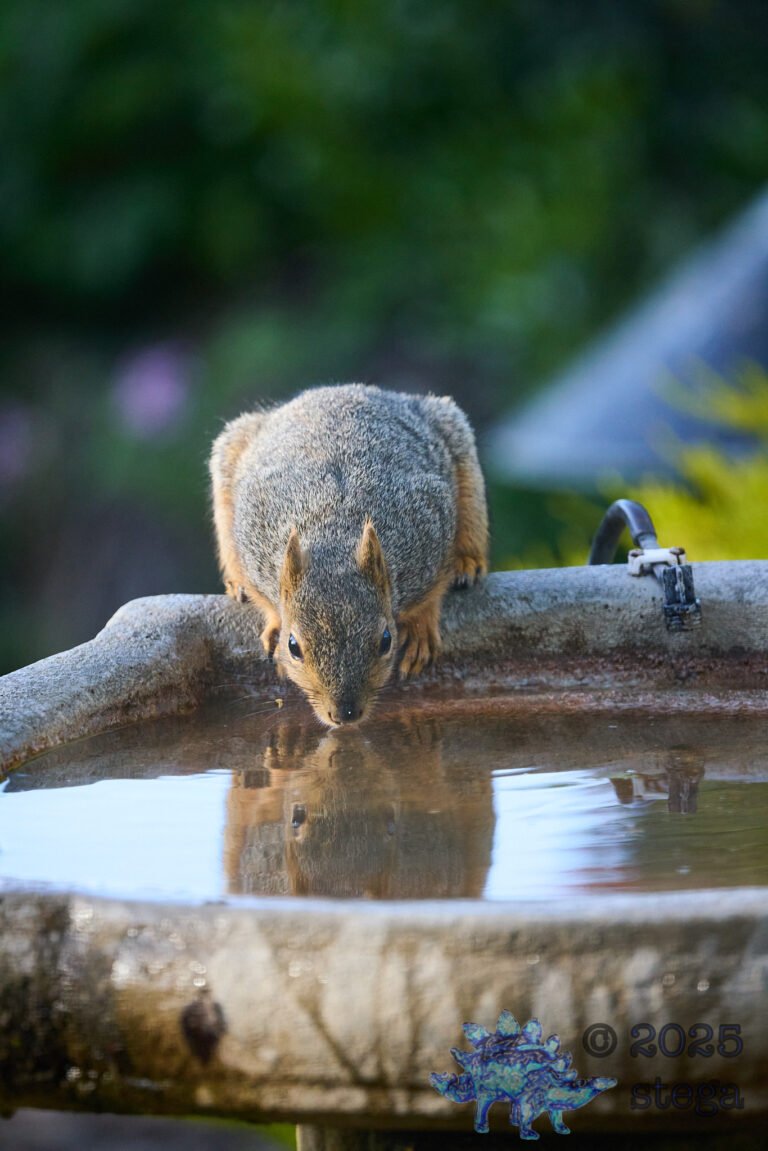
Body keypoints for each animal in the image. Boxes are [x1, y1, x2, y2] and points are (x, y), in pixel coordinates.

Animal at [209, 383, 489, 727]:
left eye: (386, 640)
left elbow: (433, 591)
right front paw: (274, 627)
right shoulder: (255, 541)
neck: (335, 535)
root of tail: (339, 388)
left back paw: (468, 563)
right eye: (293, 647)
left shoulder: (430, 532)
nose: (345, 713)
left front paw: (420, 631)